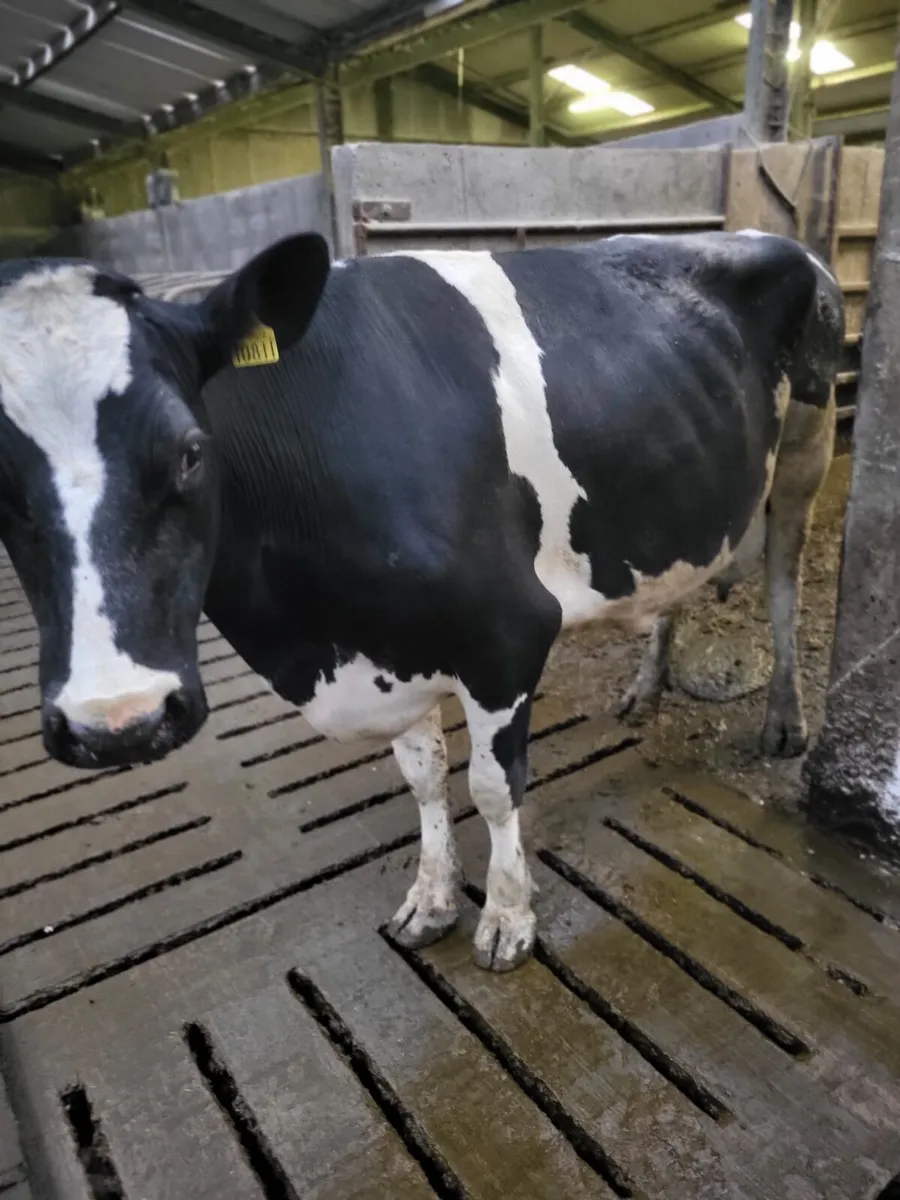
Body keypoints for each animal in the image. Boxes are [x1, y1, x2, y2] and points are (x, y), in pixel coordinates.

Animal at [0, 229, 843, 973]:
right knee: (680, 585)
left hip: (809, 447)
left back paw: (784, 719)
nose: (119, 721)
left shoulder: (507, 634)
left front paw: (507, 917)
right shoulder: (390, 644)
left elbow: (493, 789)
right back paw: (646, 688)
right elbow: (425, 779)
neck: (310, 630)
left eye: (191, 451)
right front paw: (432, 899)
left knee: (785, 586)